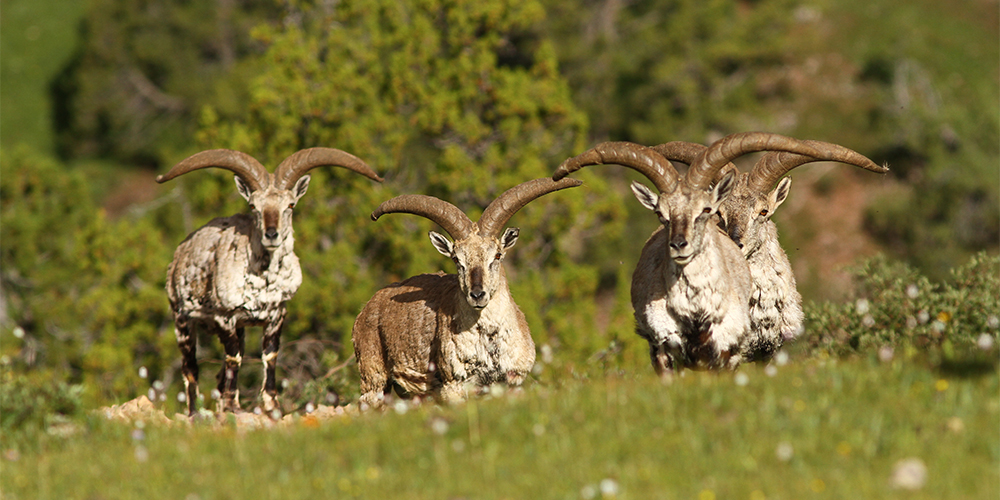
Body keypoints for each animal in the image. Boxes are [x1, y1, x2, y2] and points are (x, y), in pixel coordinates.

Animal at [158, 147, 380, 414]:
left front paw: (272, 405)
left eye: (290, 205)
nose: (271, 234)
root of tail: (179, 253)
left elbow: (270, 356)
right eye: (253, 206)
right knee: (190, 369)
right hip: (182, 319)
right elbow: (234, 359)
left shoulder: (276, 313)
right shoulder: (225, 317)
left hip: (239, 329)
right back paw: (195, 412)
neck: (263, 281)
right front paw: (232, 406)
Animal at [350, 176, 580, 406]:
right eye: (456, 259)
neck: (489, 343)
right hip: (374, 377)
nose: (477, 295)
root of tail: (367, 307)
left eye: (497, 255)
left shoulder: (513, 381)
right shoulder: (454, 385)